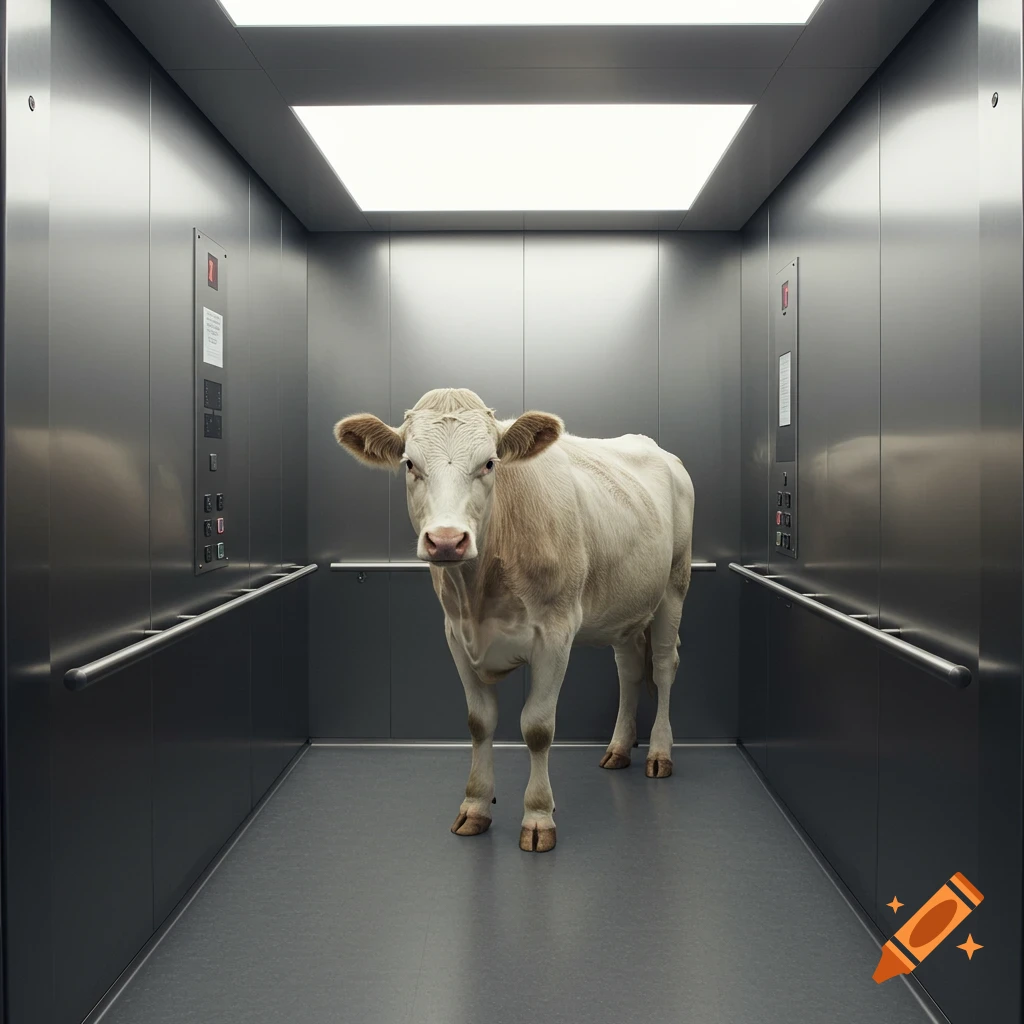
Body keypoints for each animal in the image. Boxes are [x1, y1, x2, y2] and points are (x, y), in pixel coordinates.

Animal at [334, 388, 694, 852]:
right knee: (629, 669)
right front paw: (475, 806)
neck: (479, 593)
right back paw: (618, 748)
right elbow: (479, 722)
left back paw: (660, 752)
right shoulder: (455, 635)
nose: (446, 540)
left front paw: (538, 816)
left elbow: (537, 728)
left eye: (490, 463)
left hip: (674, 584)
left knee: (665, 666)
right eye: (410, 464)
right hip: (625, 604)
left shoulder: (556, 634)